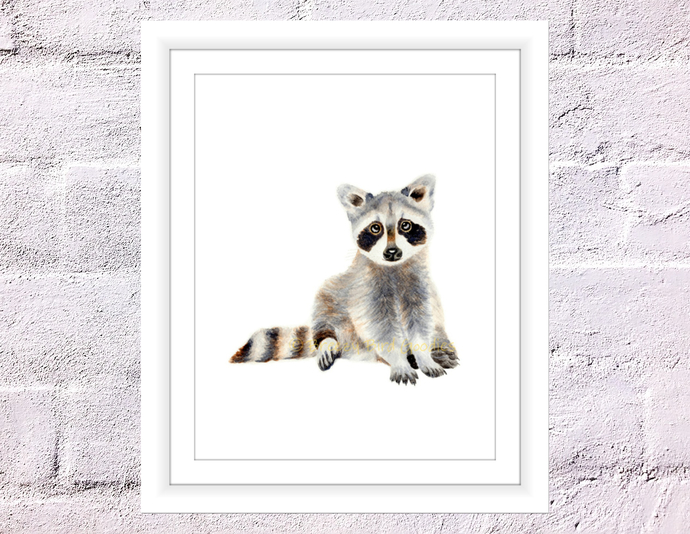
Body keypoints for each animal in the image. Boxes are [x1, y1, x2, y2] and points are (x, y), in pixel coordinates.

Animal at [230, 174, 458, 385]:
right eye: (376, 228)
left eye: (406, 225)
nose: (392, 252)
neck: (393, 268)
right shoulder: (364, 289)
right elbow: (380, 329)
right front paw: (400, 361)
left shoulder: (419, 286)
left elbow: (421, 321)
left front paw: (424, 356)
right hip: (337, 300)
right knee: (325, 302)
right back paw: (329, 341)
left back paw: (439, 351)